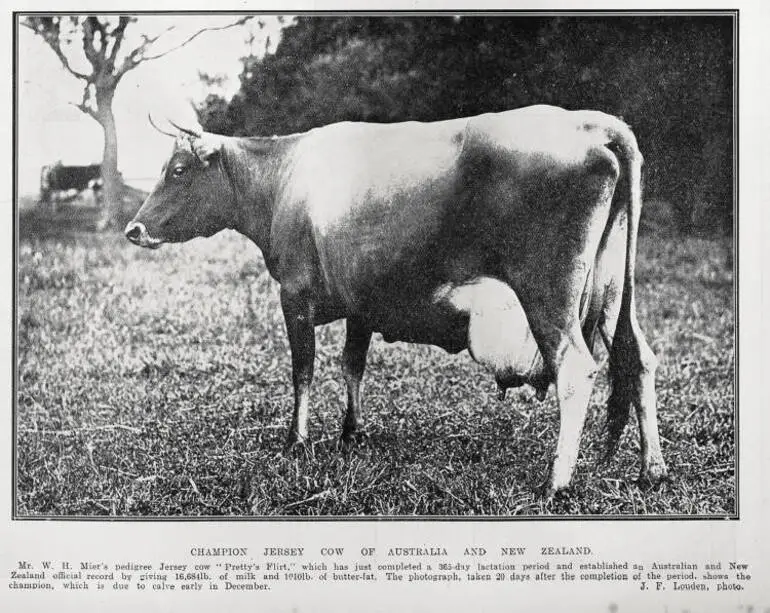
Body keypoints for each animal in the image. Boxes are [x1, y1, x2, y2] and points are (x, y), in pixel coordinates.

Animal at [126, 105, 664, 494]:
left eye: (178, 170)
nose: (133, 229)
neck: (283, 179)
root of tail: (592, 123)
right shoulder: (362, 302)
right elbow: (352, 364)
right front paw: (352, 432)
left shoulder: (294, 293)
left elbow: (303, 370)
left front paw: (297, 441)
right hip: (614, 295)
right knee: (637, 357)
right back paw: (650, 468)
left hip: (549, 294)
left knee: (575, 368)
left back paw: (556, 482)